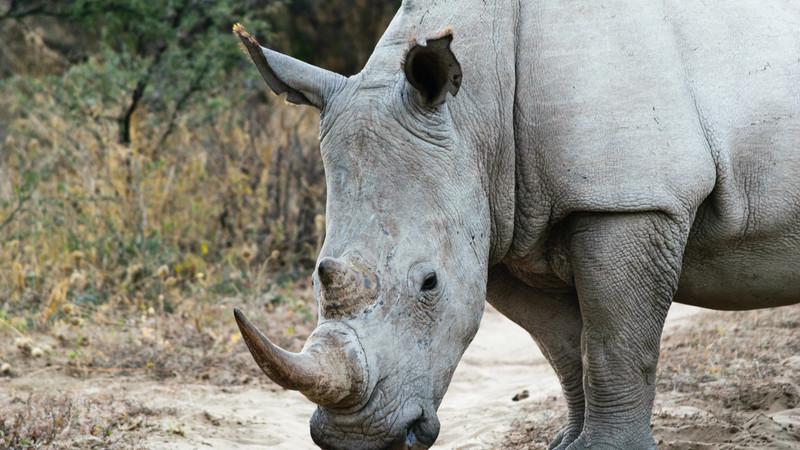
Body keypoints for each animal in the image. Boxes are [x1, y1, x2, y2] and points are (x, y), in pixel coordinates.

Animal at [230, 0, 800, 446]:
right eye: (315, 278)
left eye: (429, 283)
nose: (355, 438)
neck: (475, 111)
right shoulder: (501, 222)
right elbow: (564, 346)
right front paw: (568, 445)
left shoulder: (630, 199)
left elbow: (615, 344)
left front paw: (606, 448)